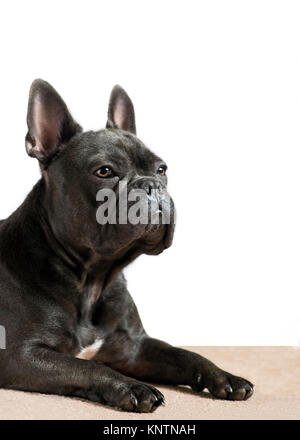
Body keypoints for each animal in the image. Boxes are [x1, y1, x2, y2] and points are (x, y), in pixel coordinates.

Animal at [0, 81, 253, 414]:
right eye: (104, 172)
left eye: (162, 169)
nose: (151, 185)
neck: (93, 278)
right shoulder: (21, 356)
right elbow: (88, 366)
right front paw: (131, 387)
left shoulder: (134, 347)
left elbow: (184, 354)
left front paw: (225, 376)